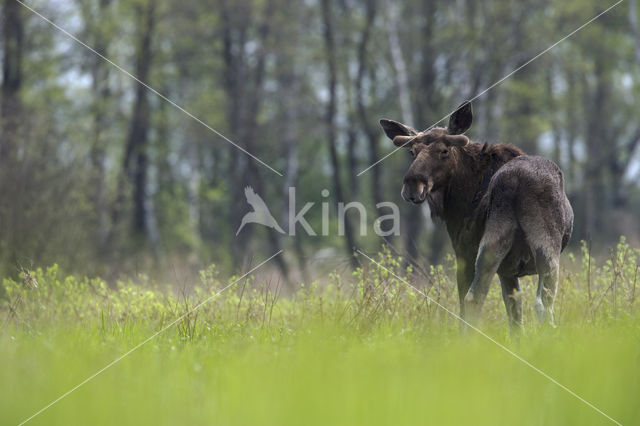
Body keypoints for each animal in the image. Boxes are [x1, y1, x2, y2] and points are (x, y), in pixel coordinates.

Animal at [380, 102, 576, 332]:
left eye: (444, 150)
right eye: (412, 152)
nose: (412, 185)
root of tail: (516, 180)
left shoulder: (471, 256)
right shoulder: (497, 267)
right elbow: (514, 317)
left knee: (476, 299)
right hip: (538, 245)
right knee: (537, 303)